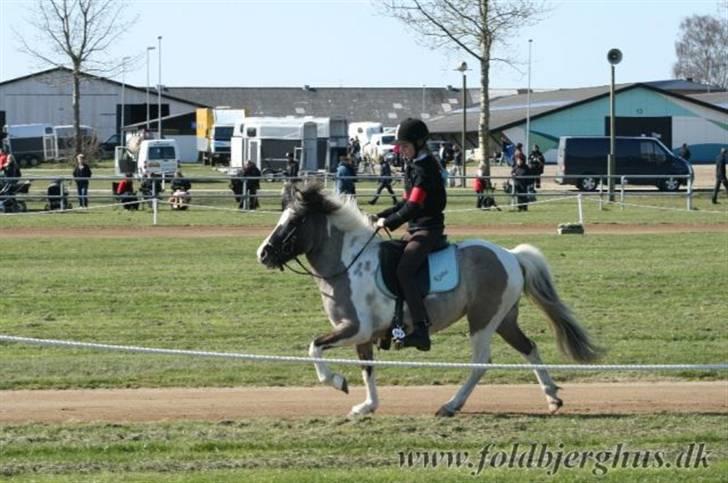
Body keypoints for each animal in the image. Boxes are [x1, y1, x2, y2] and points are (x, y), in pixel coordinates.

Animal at [258, 183, 600, 418]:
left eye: (293, 223)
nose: (263, 253)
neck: (349, 263)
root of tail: (511, 255)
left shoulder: (354, 328)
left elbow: (315, 347)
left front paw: (338, 381)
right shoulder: (363, 335)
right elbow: (368, 368)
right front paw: (367, 406)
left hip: (482, 320)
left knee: (481, 362)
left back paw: (451, 405)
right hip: (504, 319)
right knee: (529, 347)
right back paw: (552, 396)